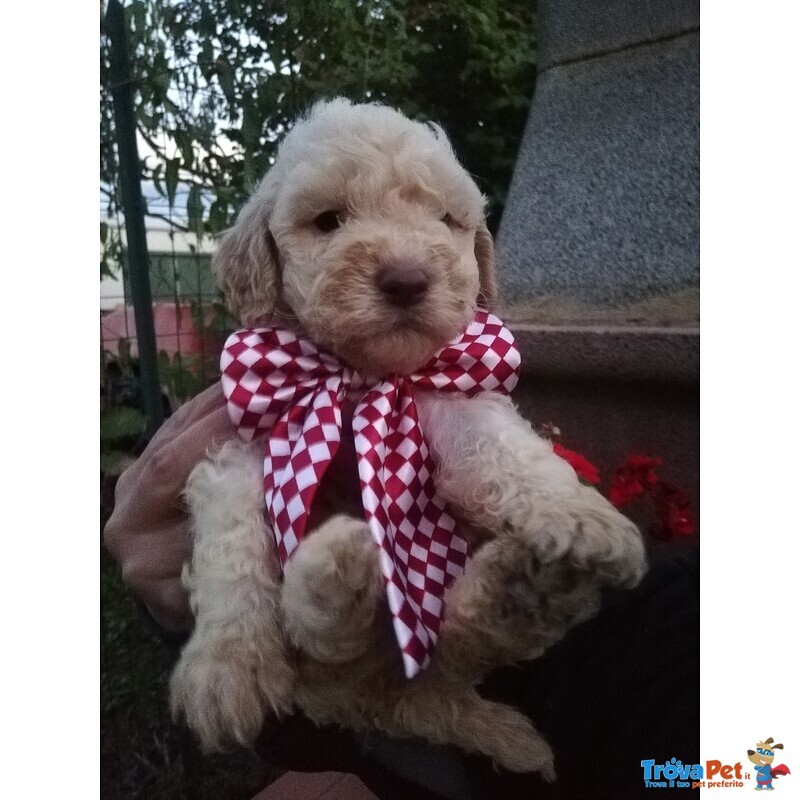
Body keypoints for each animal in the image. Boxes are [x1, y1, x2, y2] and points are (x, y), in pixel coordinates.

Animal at [170, 97, 648, 780]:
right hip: (331, 675)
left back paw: (525, 593)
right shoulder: (243, 444)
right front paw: (228, 666)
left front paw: (579, 513)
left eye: (444, 220)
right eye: (329, 220)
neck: (361, 381)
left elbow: (507, 451)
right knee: (325, 637)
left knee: (456, 645)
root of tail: (388, 700)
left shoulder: (450, 402)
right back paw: (337, 572)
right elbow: (233, 544)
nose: (406, 278)